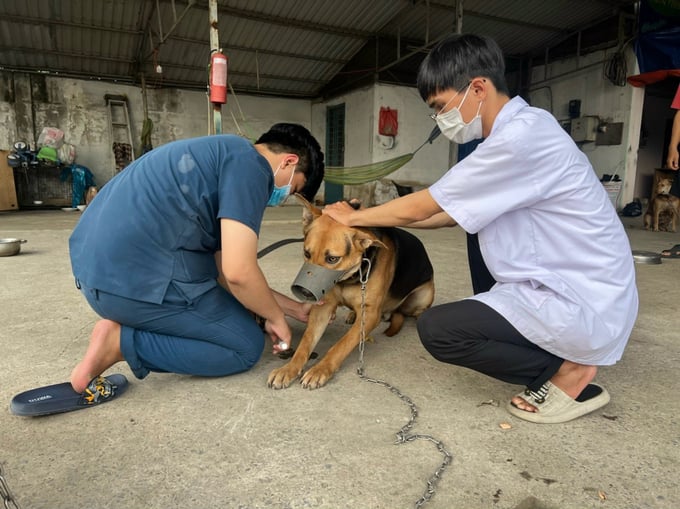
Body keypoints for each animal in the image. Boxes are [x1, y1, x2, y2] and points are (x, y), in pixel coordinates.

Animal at [266, 196, 436, 386]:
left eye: (333, 259)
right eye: (307, 254)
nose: (305, 291)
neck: (348, 278)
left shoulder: (371, 314)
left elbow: (342, 345)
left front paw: (320, 369)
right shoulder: (323, 307)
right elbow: (306, 342)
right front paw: (288, 369)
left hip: (424, 294)